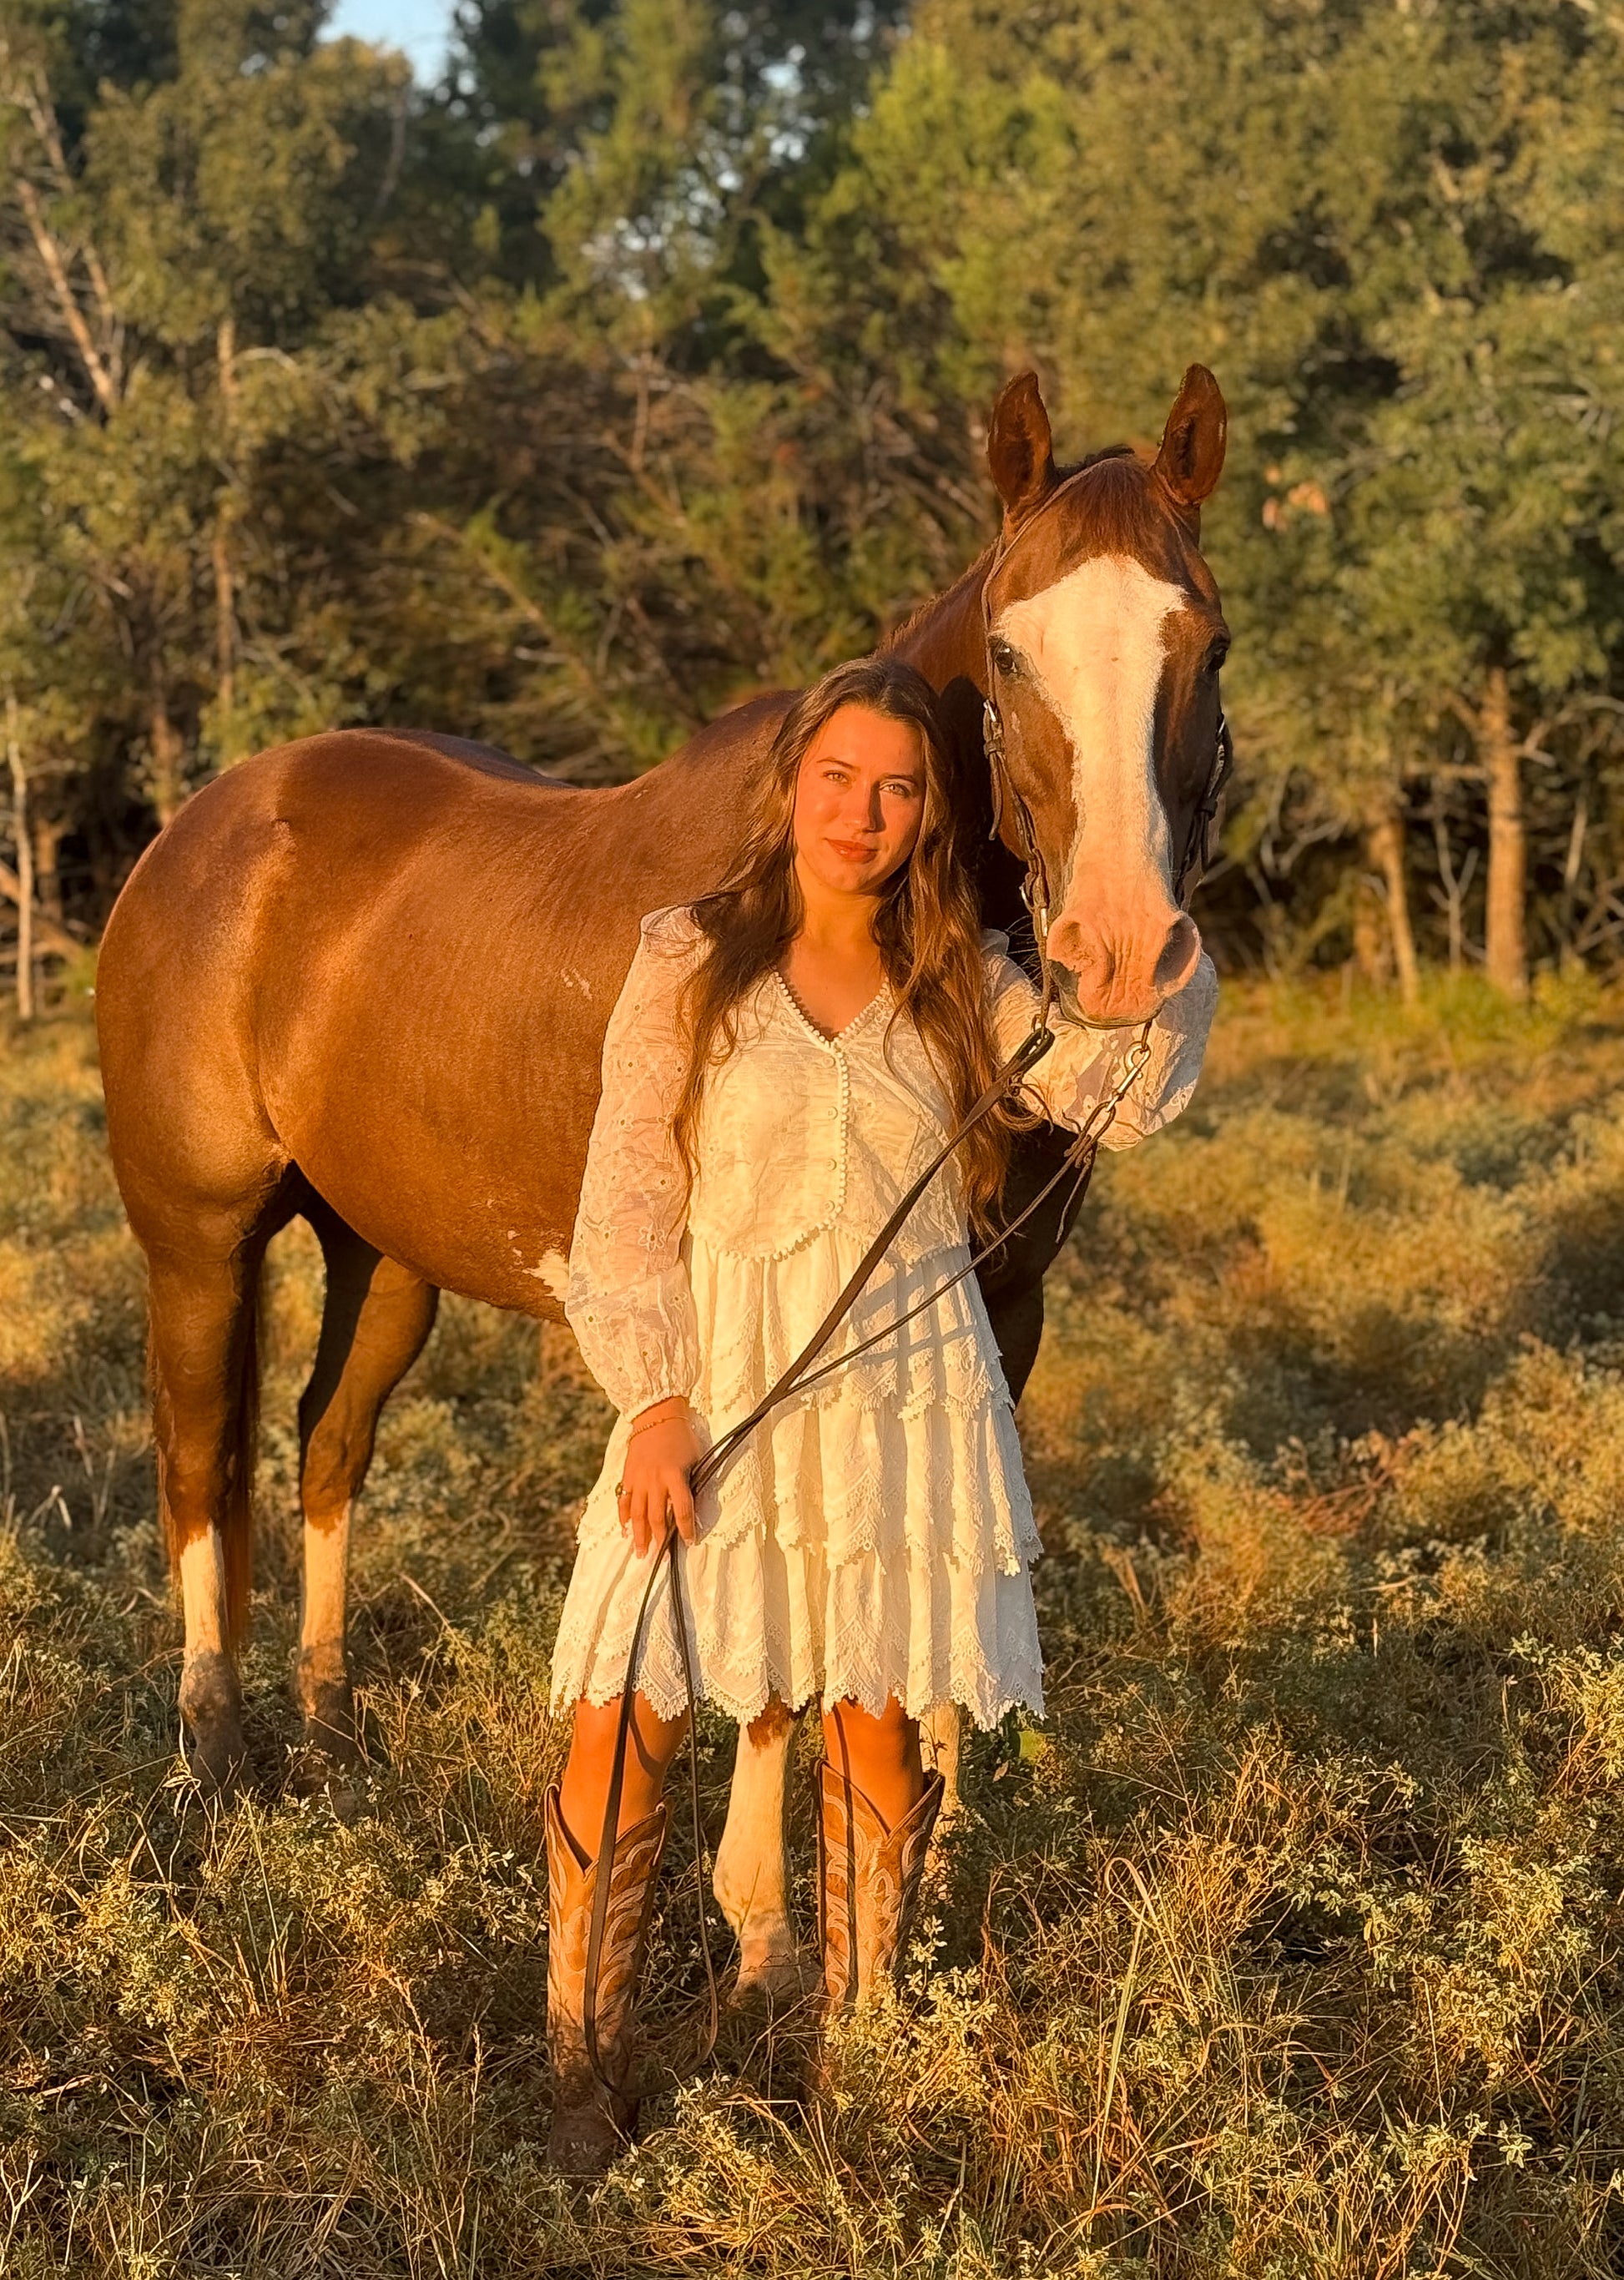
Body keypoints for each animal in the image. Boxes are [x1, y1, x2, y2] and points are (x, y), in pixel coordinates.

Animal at [95, 362, 1229, 2000]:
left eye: (1205, 641)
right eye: (1012, 650)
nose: (1124, 958)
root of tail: (209, 824)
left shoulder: (996, 1302)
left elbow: (953, 1563)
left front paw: (923, 1878)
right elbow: (762, 1626)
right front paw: (762, 1930)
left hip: (386, 1255)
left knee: (325, 1447)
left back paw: (323, 1726)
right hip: (198, 1242)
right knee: (199, 1470)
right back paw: (214, 1763)